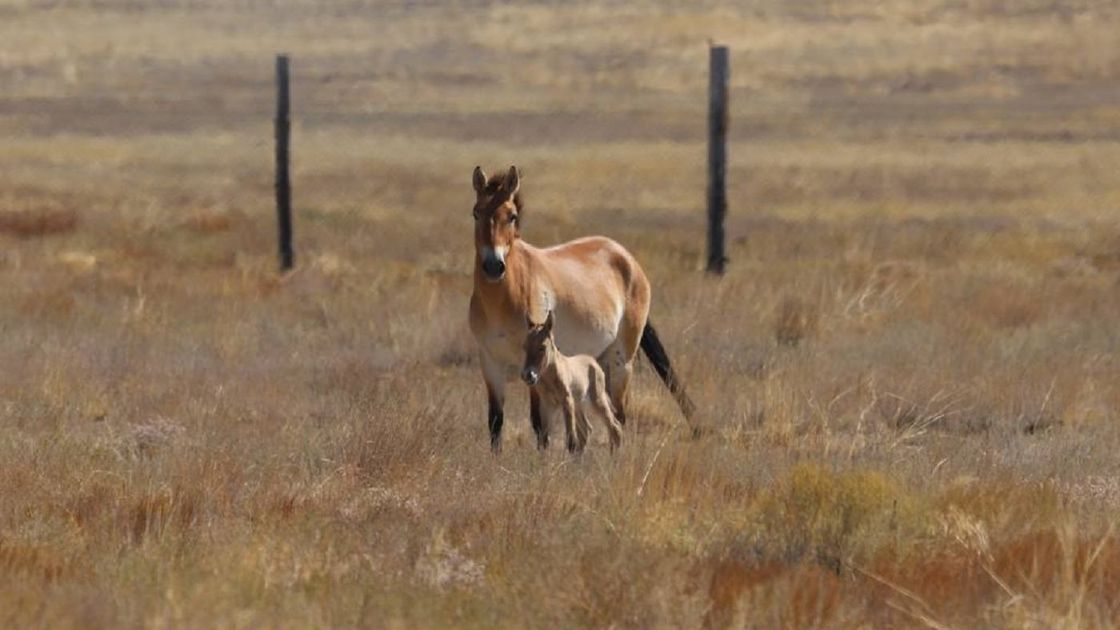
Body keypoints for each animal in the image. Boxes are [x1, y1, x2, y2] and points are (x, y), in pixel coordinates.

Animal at [521, 310, 622, 453]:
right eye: (525, 347)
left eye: (542, 347)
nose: (528, 375)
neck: (550, 379)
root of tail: (594, 362)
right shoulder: (547, 405)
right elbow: (544, 440)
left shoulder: (566, 401)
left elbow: (571, 441)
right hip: (579, 405)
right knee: (587, 430)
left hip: (597, 401)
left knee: (614, 427)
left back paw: (614, 457)